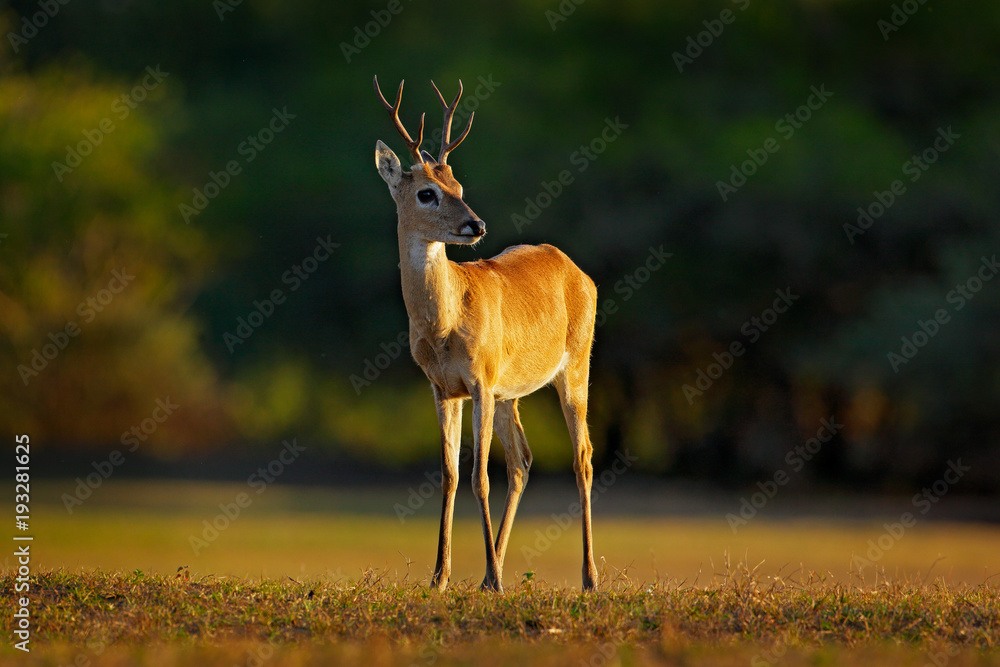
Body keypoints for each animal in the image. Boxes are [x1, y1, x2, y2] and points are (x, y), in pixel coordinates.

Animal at [372, 76, 599, 593]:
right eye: (427, 193)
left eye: (459, 185)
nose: (475, 224)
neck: (445, 323)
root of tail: (578, 271)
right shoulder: (444, 389)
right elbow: (450, 474)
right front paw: (440, 576)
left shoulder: (480, 381)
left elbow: (479, 477)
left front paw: (489, 578)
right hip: (510, 392)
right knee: (523, 460)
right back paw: (488, 571)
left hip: (574, 366)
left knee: (582, 457)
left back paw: (588, 577)